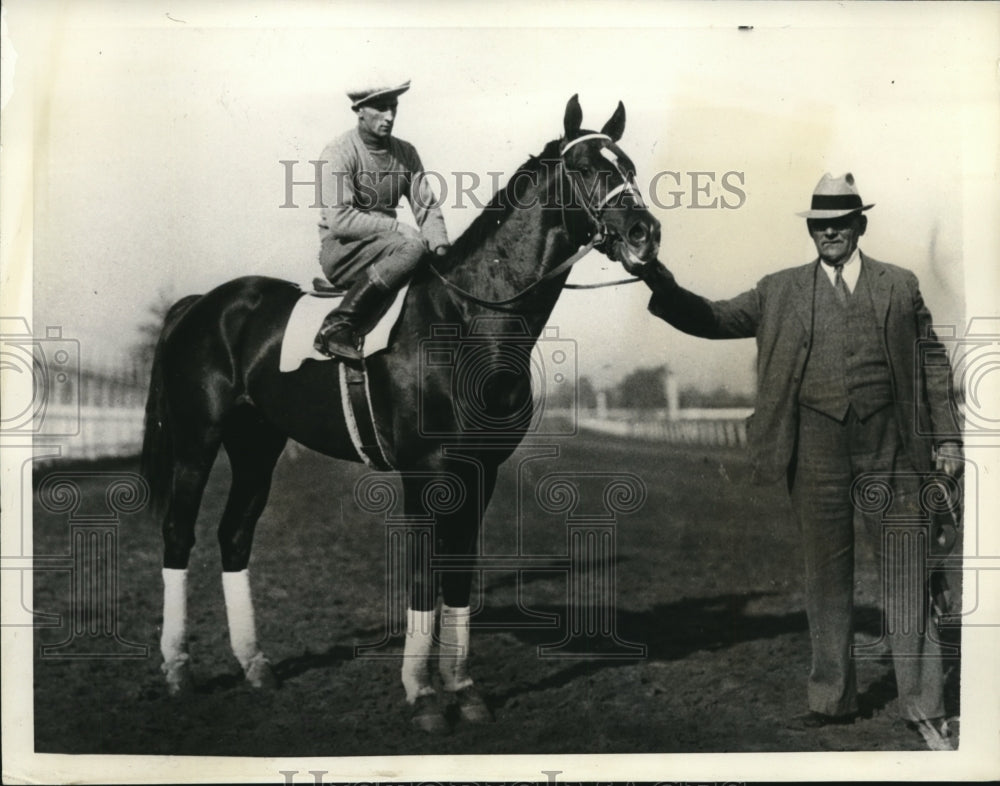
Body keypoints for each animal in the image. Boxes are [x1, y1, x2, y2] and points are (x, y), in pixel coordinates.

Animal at [141, 95, 656, 732]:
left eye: (628, 165)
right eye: (586, 168)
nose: (645, 233)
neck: (469, 321)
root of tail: (204, 305)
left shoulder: (480, 472)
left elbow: (458, 575)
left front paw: (464, 689)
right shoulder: (425, 471)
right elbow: (420, 575)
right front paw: (424, 693)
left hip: (257, 446)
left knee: (234, 535)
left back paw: (255, 666)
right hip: (197, 440)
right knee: (178, 532)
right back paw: (179, 669)